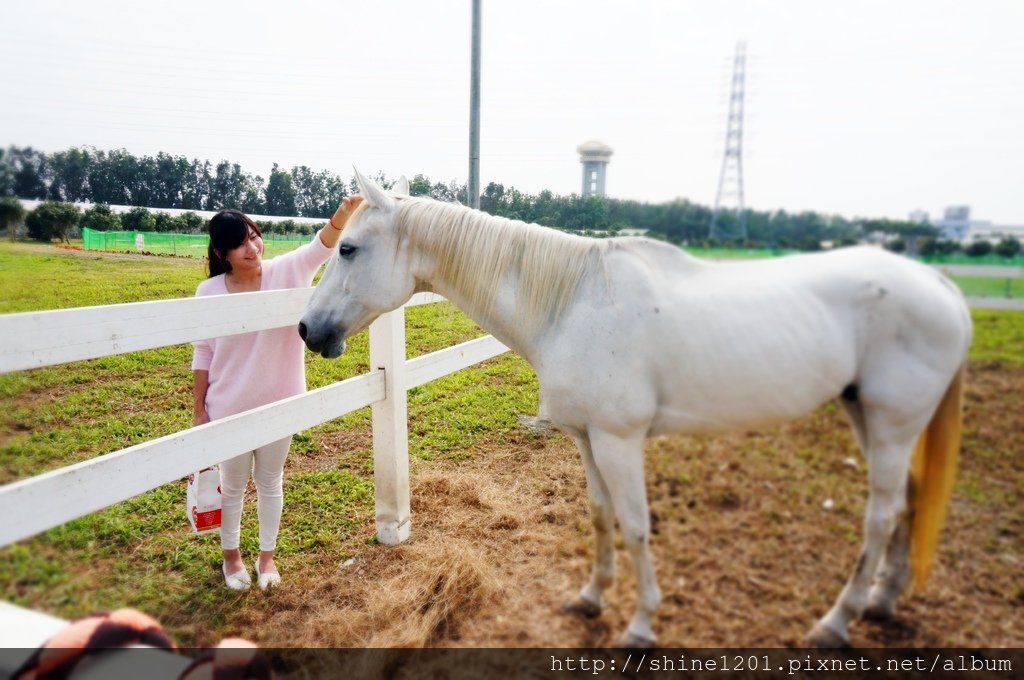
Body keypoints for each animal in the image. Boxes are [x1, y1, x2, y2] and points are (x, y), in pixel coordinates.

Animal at [299, 171, 970, 647]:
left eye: (350, 249)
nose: (308, 330)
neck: (572, 303)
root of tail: (940, 287)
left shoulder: (620, 441)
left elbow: (639, 525)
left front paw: (641, 626)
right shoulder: (587, 439)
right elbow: (602, 518)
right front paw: (591, 598)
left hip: (891, 426)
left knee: (880, 518)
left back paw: (835, 623)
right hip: (873, 421)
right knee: (908, 505)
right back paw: (882, 602)